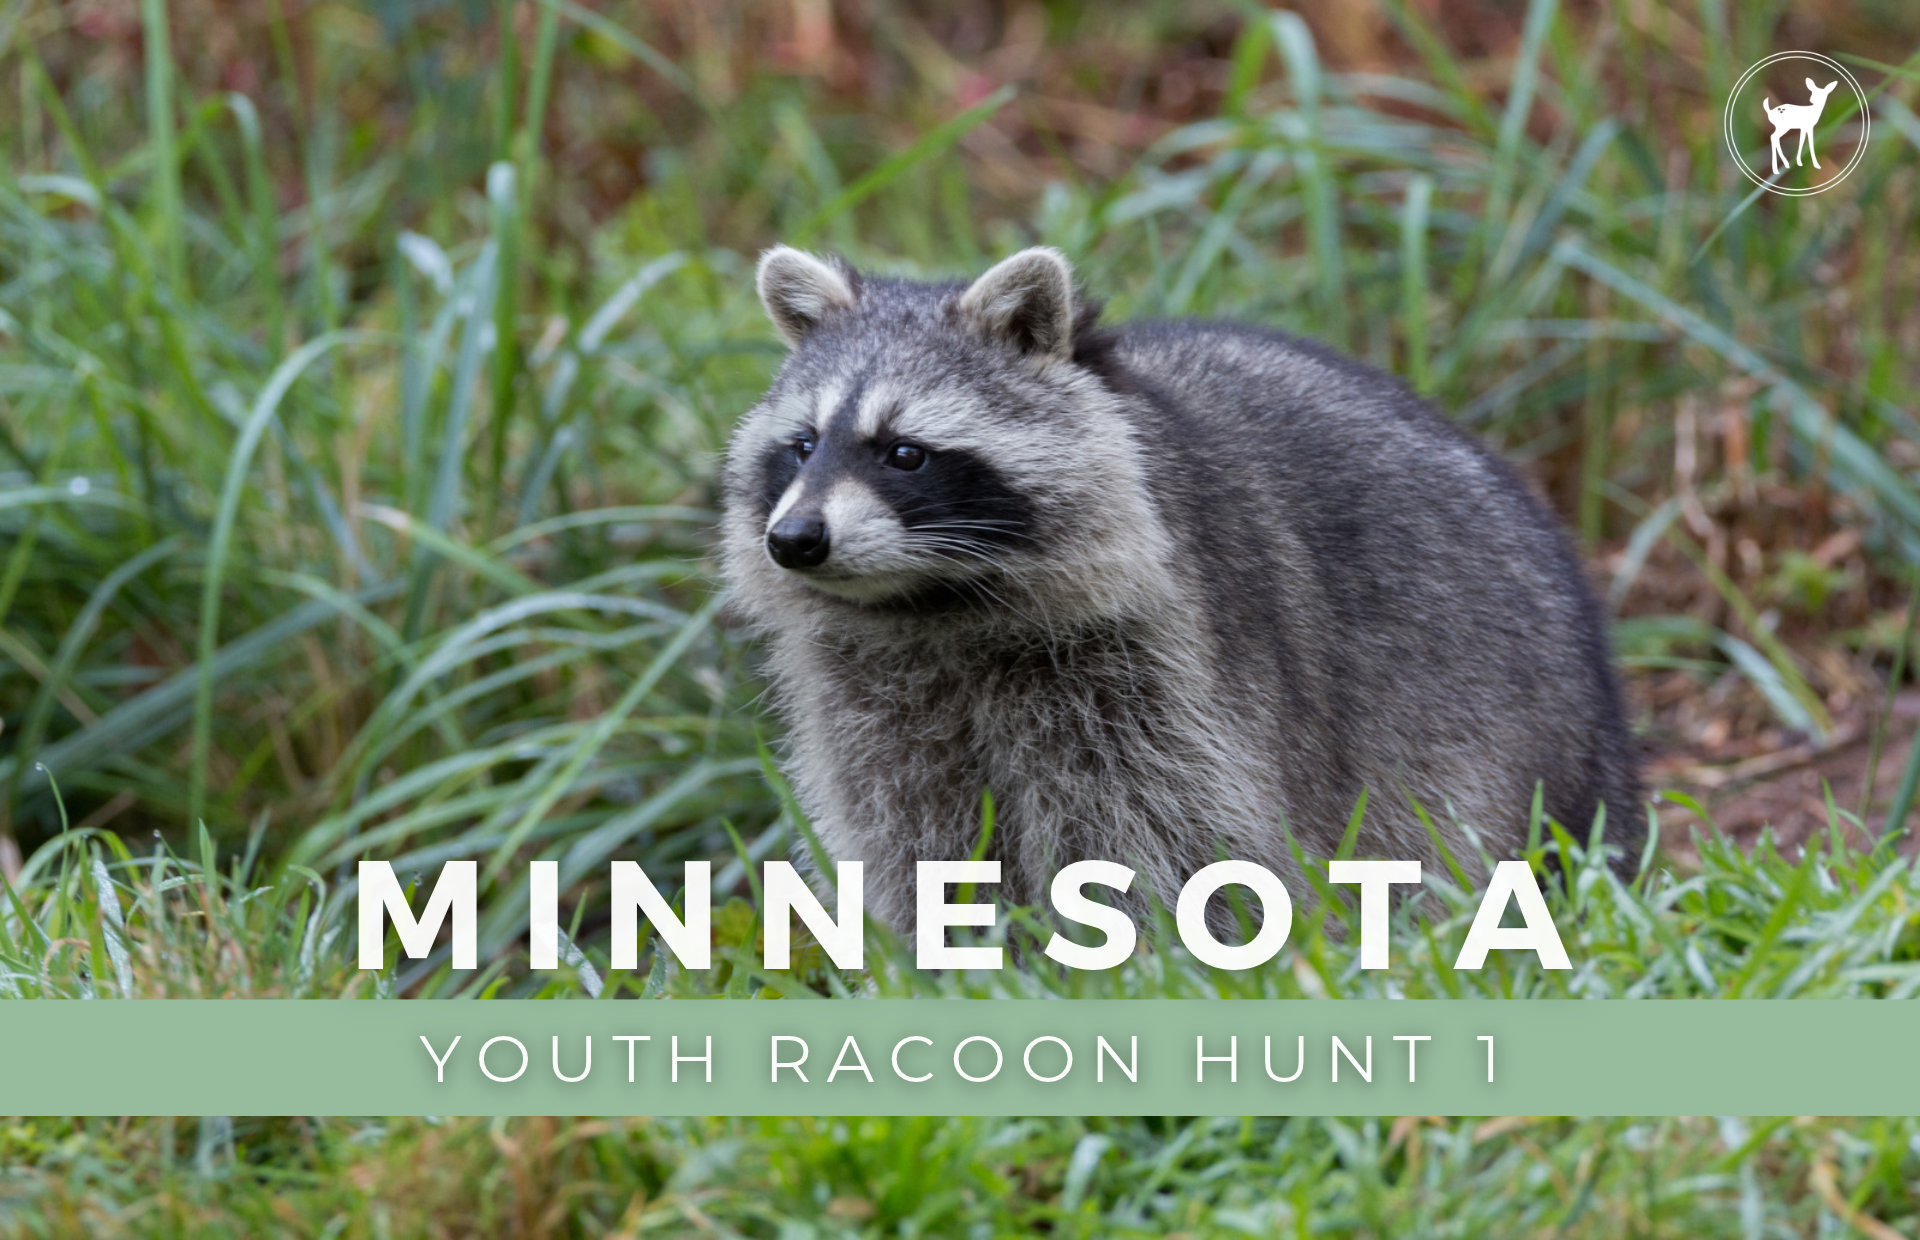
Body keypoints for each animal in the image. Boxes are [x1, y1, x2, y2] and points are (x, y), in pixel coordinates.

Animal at [720, 245, 1641, 935]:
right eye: (803, 446)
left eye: (903, 453)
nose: (795, 541)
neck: (936, 607)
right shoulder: (875, 690)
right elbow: (915, 830)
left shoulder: (1161, 664)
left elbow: (1152, 832)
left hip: (1488, 724)